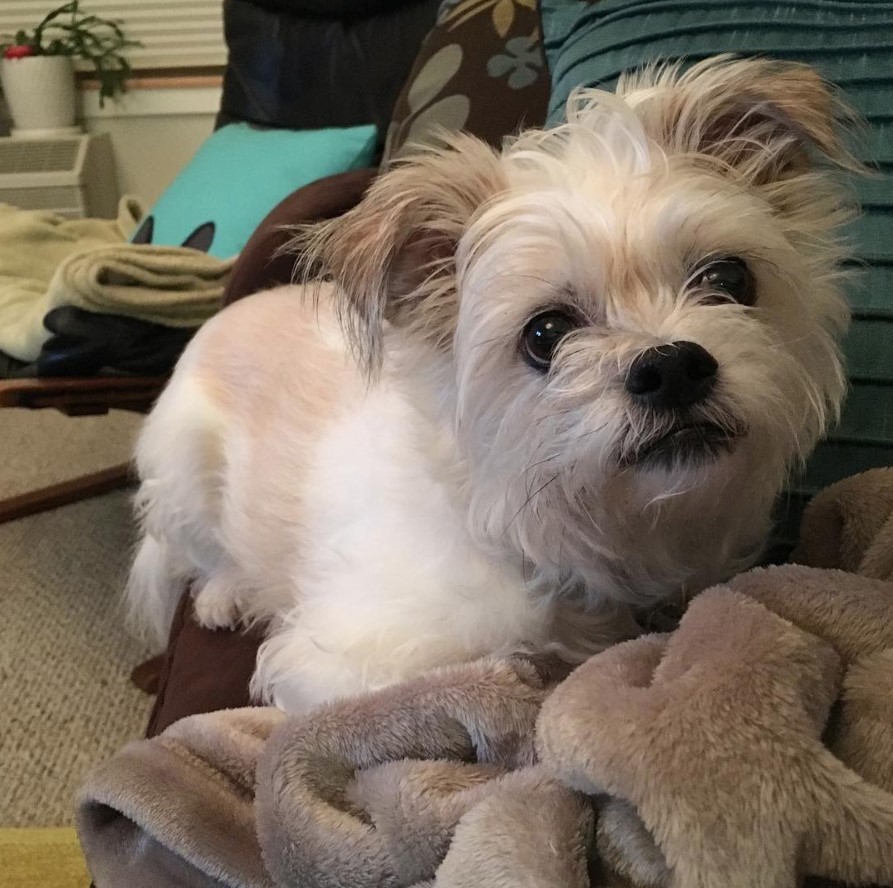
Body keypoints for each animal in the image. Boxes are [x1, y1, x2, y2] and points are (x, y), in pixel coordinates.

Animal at [129, 57, 852, 716]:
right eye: (544, 334)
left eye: (729, 279)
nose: (671, 367)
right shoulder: (344, 669)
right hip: (185, 474)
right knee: (200, 552)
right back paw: (225, 592)